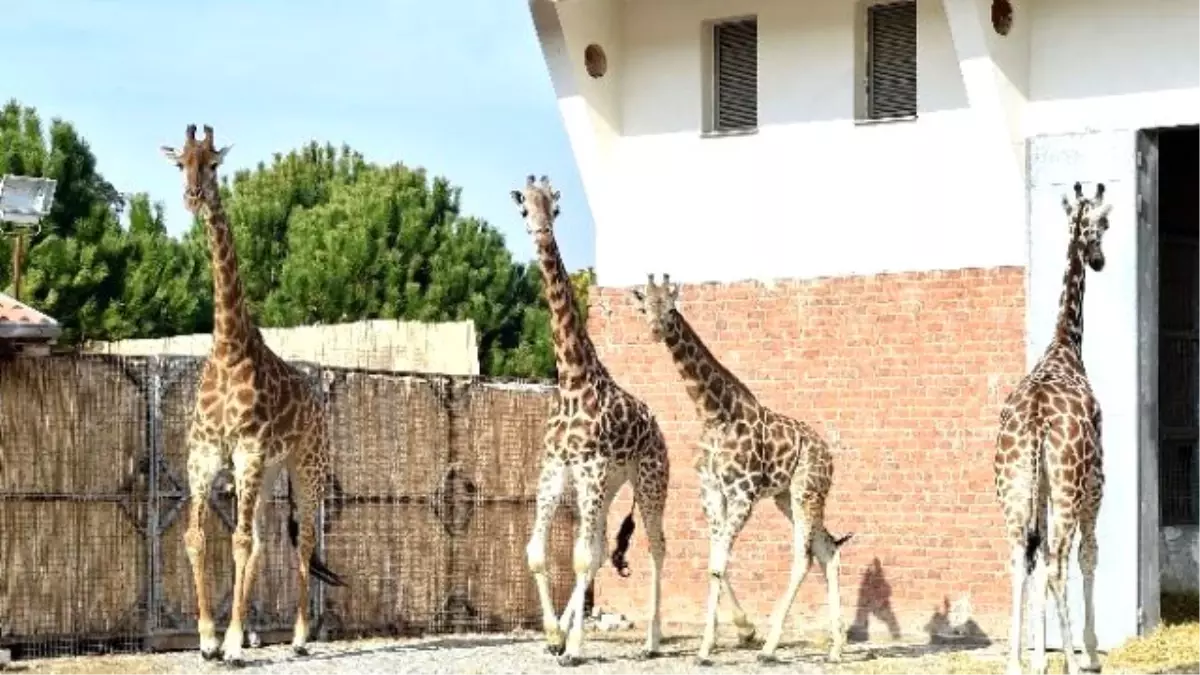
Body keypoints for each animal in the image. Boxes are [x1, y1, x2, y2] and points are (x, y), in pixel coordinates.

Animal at [160, 121, 348, 662]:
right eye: (180, 163)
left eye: (213, 164)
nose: (193, 196)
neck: (227, 346)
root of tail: (318, 404)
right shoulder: (204, 455)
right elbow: (197, 537)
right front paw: (207, 638)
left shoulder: (245, 451)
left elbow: (239, 542)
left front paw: (231, 645)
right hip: (268, 473)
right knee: (266, 539)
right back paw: (256, 634)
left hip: (306, 466)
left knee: (303, 541)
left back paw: (301, 638)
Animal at [508, 176, 672, 662]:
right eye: (524, 209)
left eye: (555, 210)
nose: (542, 233)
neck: (572, 380)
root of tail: (659, 430)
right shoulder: (555, 471)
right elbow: (538, 552)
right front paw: (552, 636)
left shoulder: (591, 468)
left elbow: (579, 558)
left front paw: (576, 646)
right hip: (609, 485)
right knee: (599, 548)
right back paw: (567, 631)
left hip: (647, 479)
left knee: (657, 546)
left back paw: (652, 640)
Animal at [628, 271, 854, 662]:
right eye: (645, 307)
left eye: (670, 307)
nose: (656, 330)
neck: (713, 413)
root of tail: (829, 455)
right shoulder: (712, 492)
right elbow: (714, 564)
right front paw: (712, 641)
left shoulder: (743, 493)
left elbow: (719, 565)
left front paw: (707, 649)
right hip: (786, 498)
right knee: (827, 550)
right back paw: (836, 649)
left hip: (807, 492)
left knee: (804, 557)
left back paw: (770, 648)